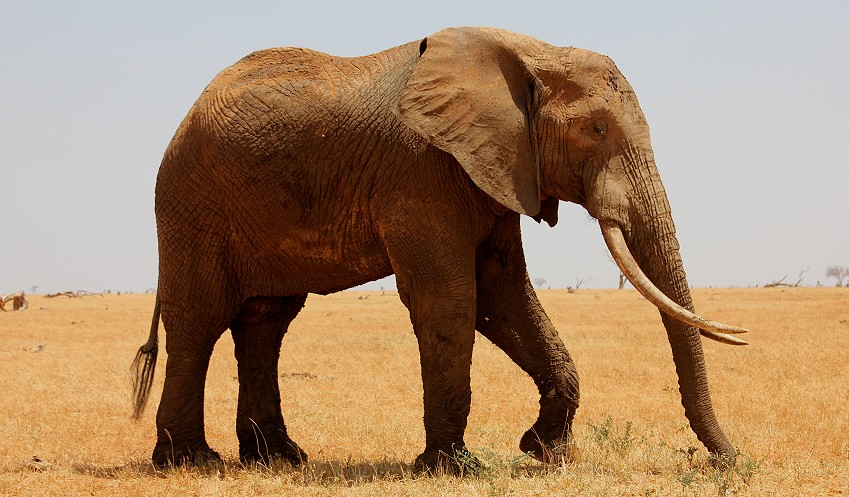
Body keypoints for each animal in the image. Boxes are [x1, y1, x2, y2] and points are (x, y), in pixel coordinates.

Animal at [129, 26, 744, 468]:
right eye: (595, 130)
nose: (731, 460)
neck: (531, 53)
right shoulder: (420, 170)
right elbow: (449, 299)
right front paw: (454, 466)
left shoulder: (495, 171)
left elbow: (503, 296)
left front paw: (544, 451)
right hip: (192, 205)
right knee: (201, 321)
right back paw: (190, 461)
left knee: (265, 324)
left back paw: (278, 459)